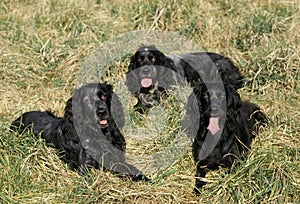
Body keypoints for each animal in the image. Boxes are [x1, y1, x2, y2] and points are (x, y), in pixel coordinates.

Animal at [9, 82, 148, 181]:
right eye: (87, 100)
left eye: (104, 95)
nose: (102, 111)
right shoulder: (85, 166)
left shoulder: (116, 159)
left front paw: (143, 177)